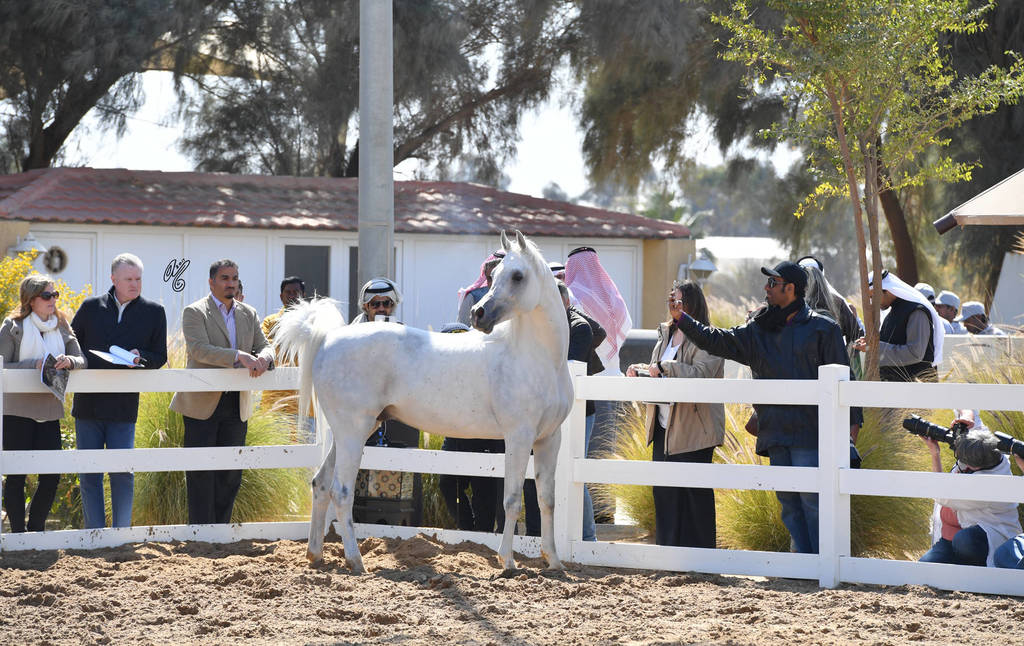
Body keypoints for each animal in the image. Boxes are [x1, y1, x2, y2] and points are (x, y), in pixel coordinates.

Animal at [273, 230, 573, 573]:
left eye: (517, 275)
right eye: (496, 273)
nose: (479, 314)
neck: (536, 357)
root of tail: (327, 339)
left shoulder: (549, 439)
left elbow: (547, 499)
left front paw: (554, 562)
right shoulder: (518, 437)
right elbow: (511, 499)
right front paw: (507, 561)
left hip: (353, 431)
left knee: (321, 484)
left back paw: (316, 555)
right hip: (352, 432)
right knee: (342, 491)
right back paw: (355, 560)